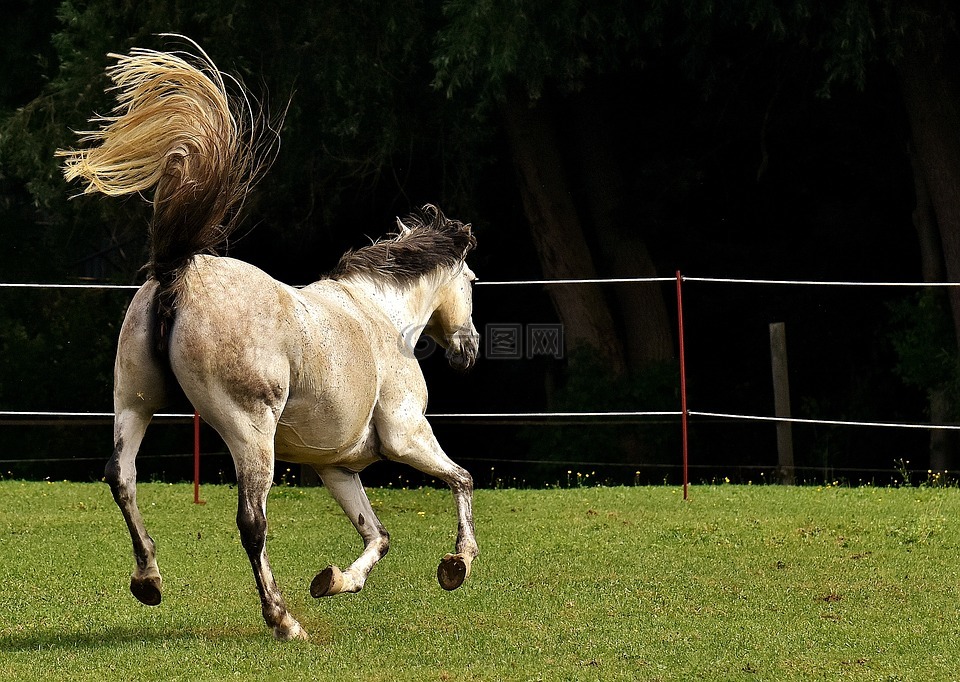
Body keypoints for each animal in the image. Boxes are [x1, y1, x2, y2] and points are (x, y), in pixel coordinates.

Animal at [59, 38, 480, 644]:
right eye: (471, 281)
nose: (469, 349)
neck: (378, 315)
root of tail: (177, 273)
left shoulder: (337, 467)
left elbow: (377, 536)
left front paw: (334, 581)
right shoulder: (406, 438)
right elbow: (461, 480)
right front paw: (456, 565)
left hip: (134, 401)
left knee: (122, 477)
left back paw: (149, 580)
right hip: (249, 431)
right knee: (251, 521)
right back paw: (282, 619)